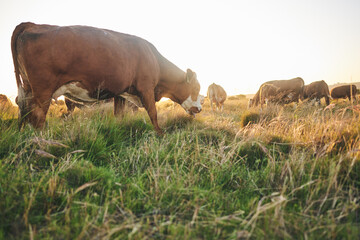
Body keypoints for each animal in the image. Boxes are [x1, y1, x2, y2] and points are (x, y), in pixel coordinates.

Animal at [11, 22, 202, 135]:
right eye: (196, 88)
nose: (199, 109)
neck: (154, 59)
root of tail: (33, 25)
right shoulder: (146, 88)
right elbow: (153, 113)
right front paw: (160, 133)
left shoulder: (121, 92)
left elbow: (119, 115)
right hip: (43, 90)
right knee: (37, 117)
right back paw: (41, 139)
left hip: (28, 88)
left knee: (23, 110)